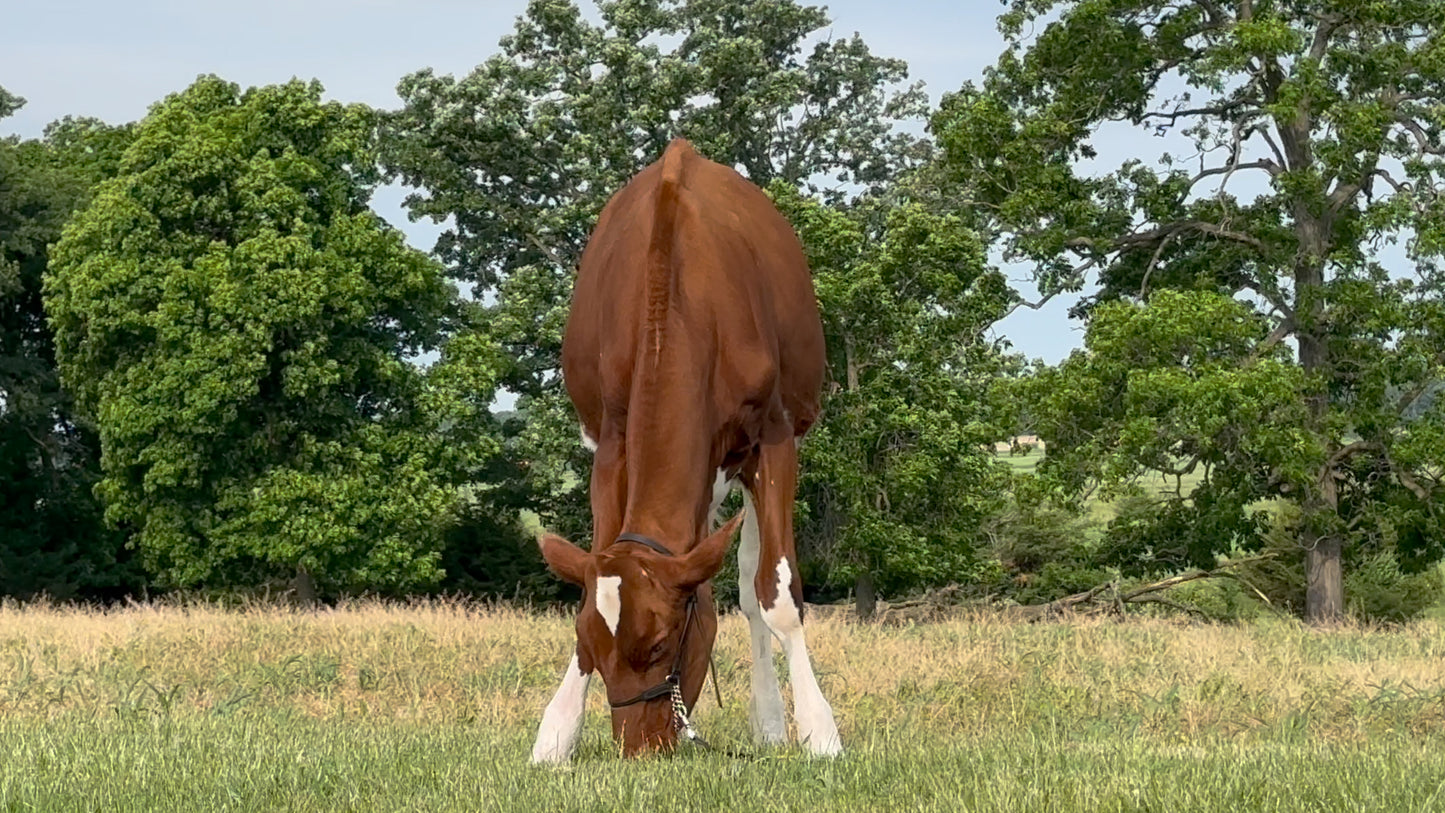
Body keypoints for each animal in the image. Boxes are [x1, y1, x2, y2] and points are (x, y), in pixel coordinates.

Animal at [530, 138, 842, 761]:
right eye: (595, 648)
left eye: (659, 644)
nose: (638, 747)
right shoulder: (610, 440)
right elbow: (591, 573)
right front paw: (557, 730)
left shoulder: (774, 437)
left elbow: (774, 593)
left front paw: (818, 730)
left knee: (747, 584)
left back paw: (770, 722)